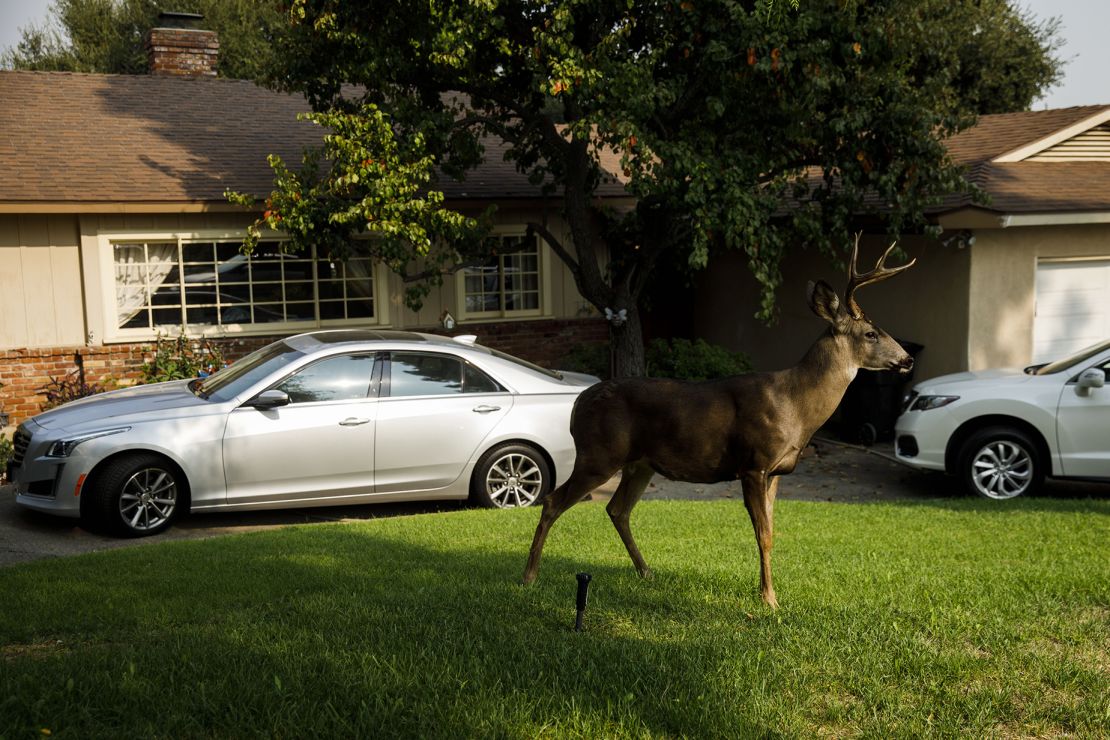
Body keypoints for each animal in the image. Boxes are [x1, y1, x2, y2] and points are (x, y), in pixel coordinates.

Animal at [523, 237, 914, 607]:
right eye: (872, 333)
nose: (908, 359)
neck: (796, 405)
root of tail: (577, 404)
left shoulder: (776, 472)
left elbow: (771, 532)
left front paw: (766, 591)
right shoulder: (753, 464)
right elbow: (763, 535)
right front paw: (770, 599)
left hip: (640, 463)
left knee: (617, 509)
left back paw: (647, 572)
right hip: (599, 454)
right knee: (553, 501)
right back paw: (530, 576)